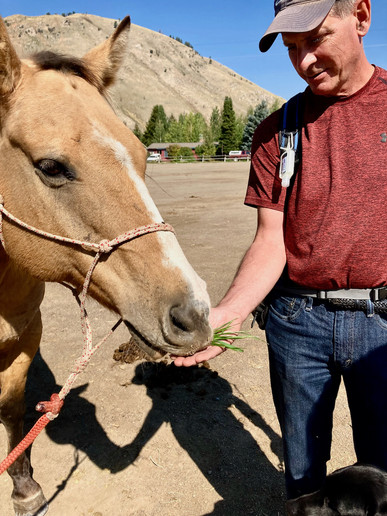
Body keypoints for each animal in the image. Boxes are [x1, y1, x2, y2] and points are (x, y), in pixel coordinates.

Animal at [0, 16, 212, 516]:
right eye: (51, 166)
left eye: (140, 154)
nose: (194, 315)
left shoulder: (25, 337)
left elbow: (13, 407)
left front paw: (24, 487)